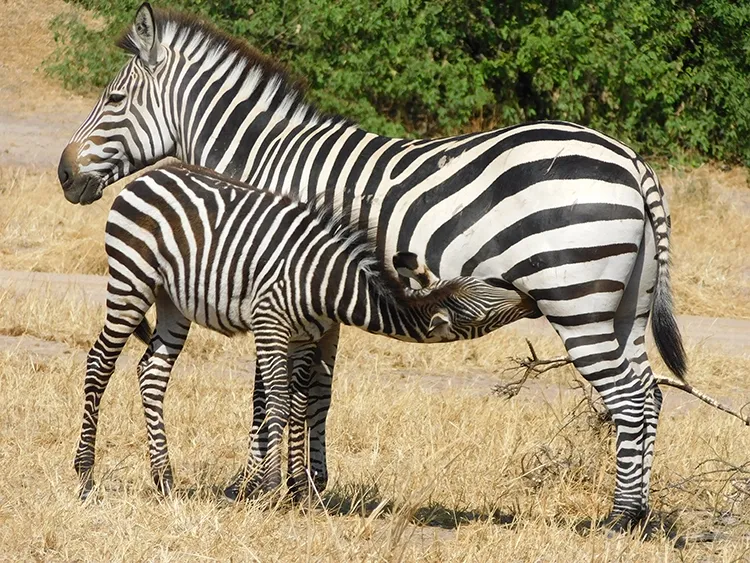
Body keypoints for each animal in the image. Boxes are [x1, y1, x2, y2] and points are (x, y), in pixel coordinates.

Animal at [78, 163, 537, 501]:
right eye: (489, 305)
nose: (532, 298)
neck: (329, 286)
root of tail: (151, 175)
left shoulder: (305, 337)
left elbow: (300, 403)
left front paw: (294, 486)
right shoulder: (271, 324)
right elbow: (279, 403)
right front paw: (267, 488)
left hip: (173, 300)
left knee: (152, 373)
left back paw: (164, 480)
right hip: (132, 280)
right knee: (100, 362)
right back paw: (85, 476)